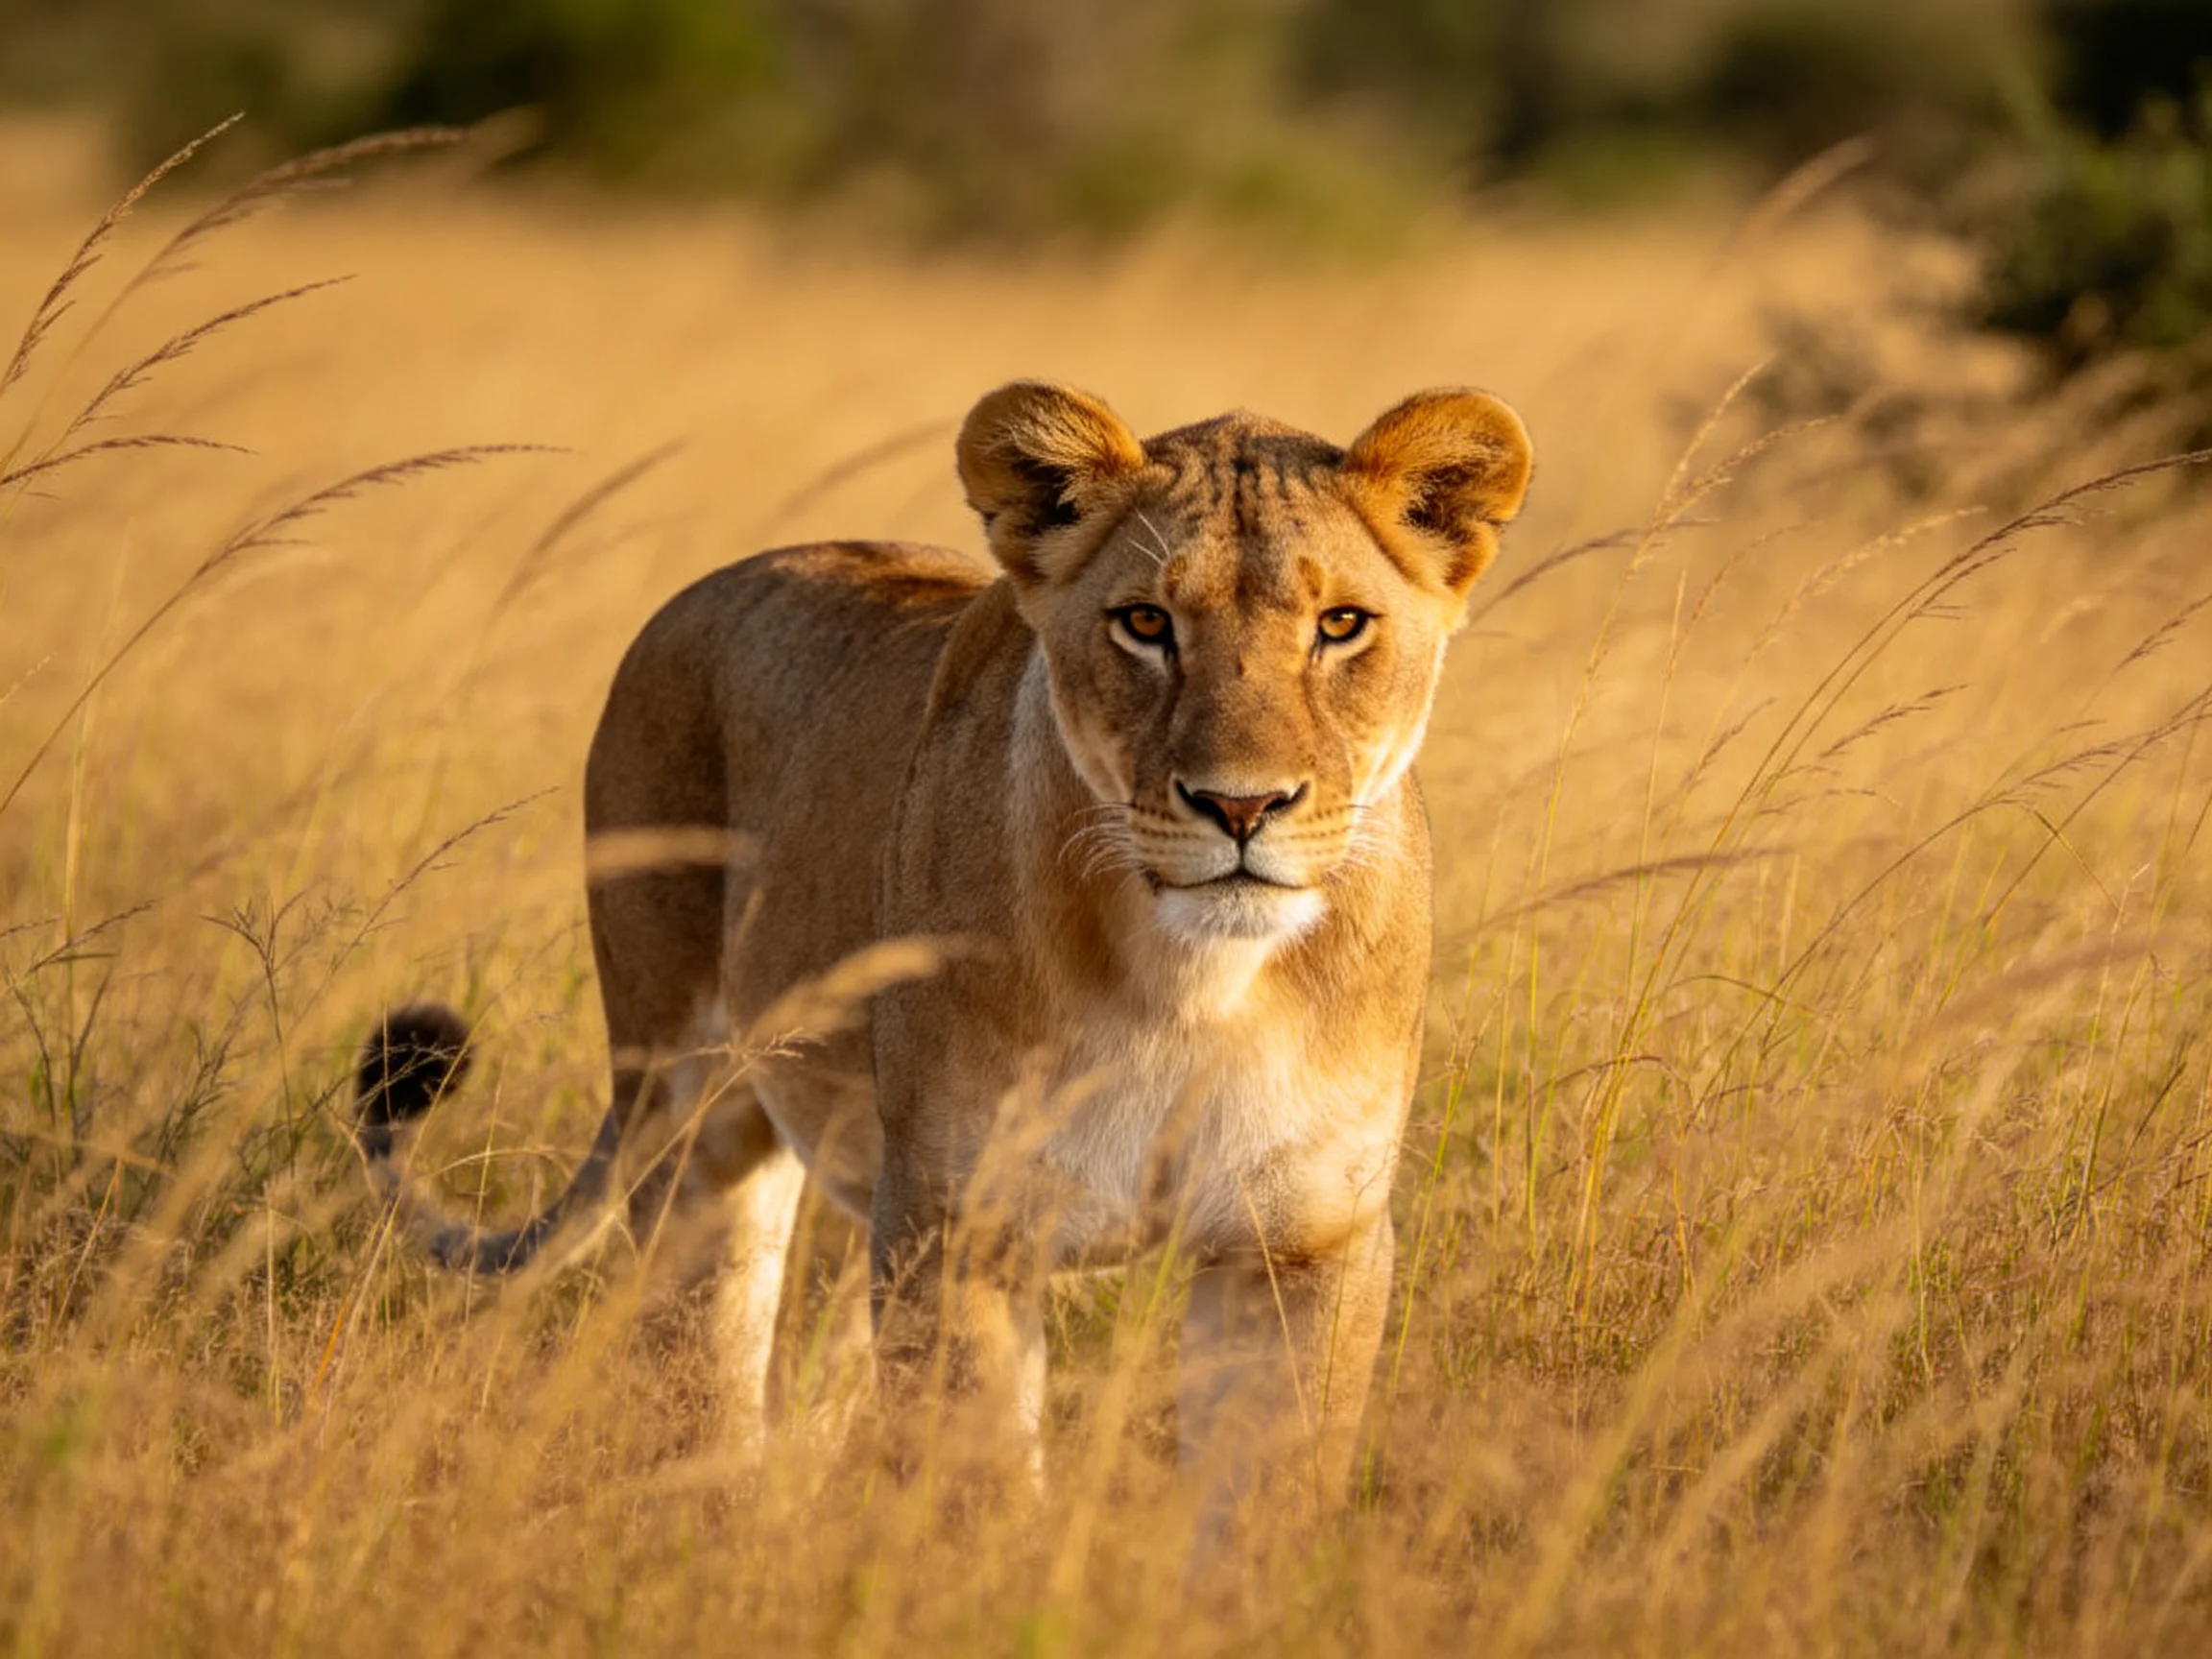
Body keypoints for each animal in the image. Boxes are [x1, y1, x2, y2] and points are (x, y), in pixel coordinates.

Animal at [357, 379, 1532, 1531]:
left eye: (1341, 625)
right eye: (1146, 623)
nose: (1241, 806)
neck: (1195, 984)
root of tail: (717, 583)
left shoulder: (1304, 1245)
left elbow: (1264, 1516)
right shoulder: (962, 1225)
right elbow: (978, 1494)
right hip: (697, 1119)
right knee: (701, 1356)